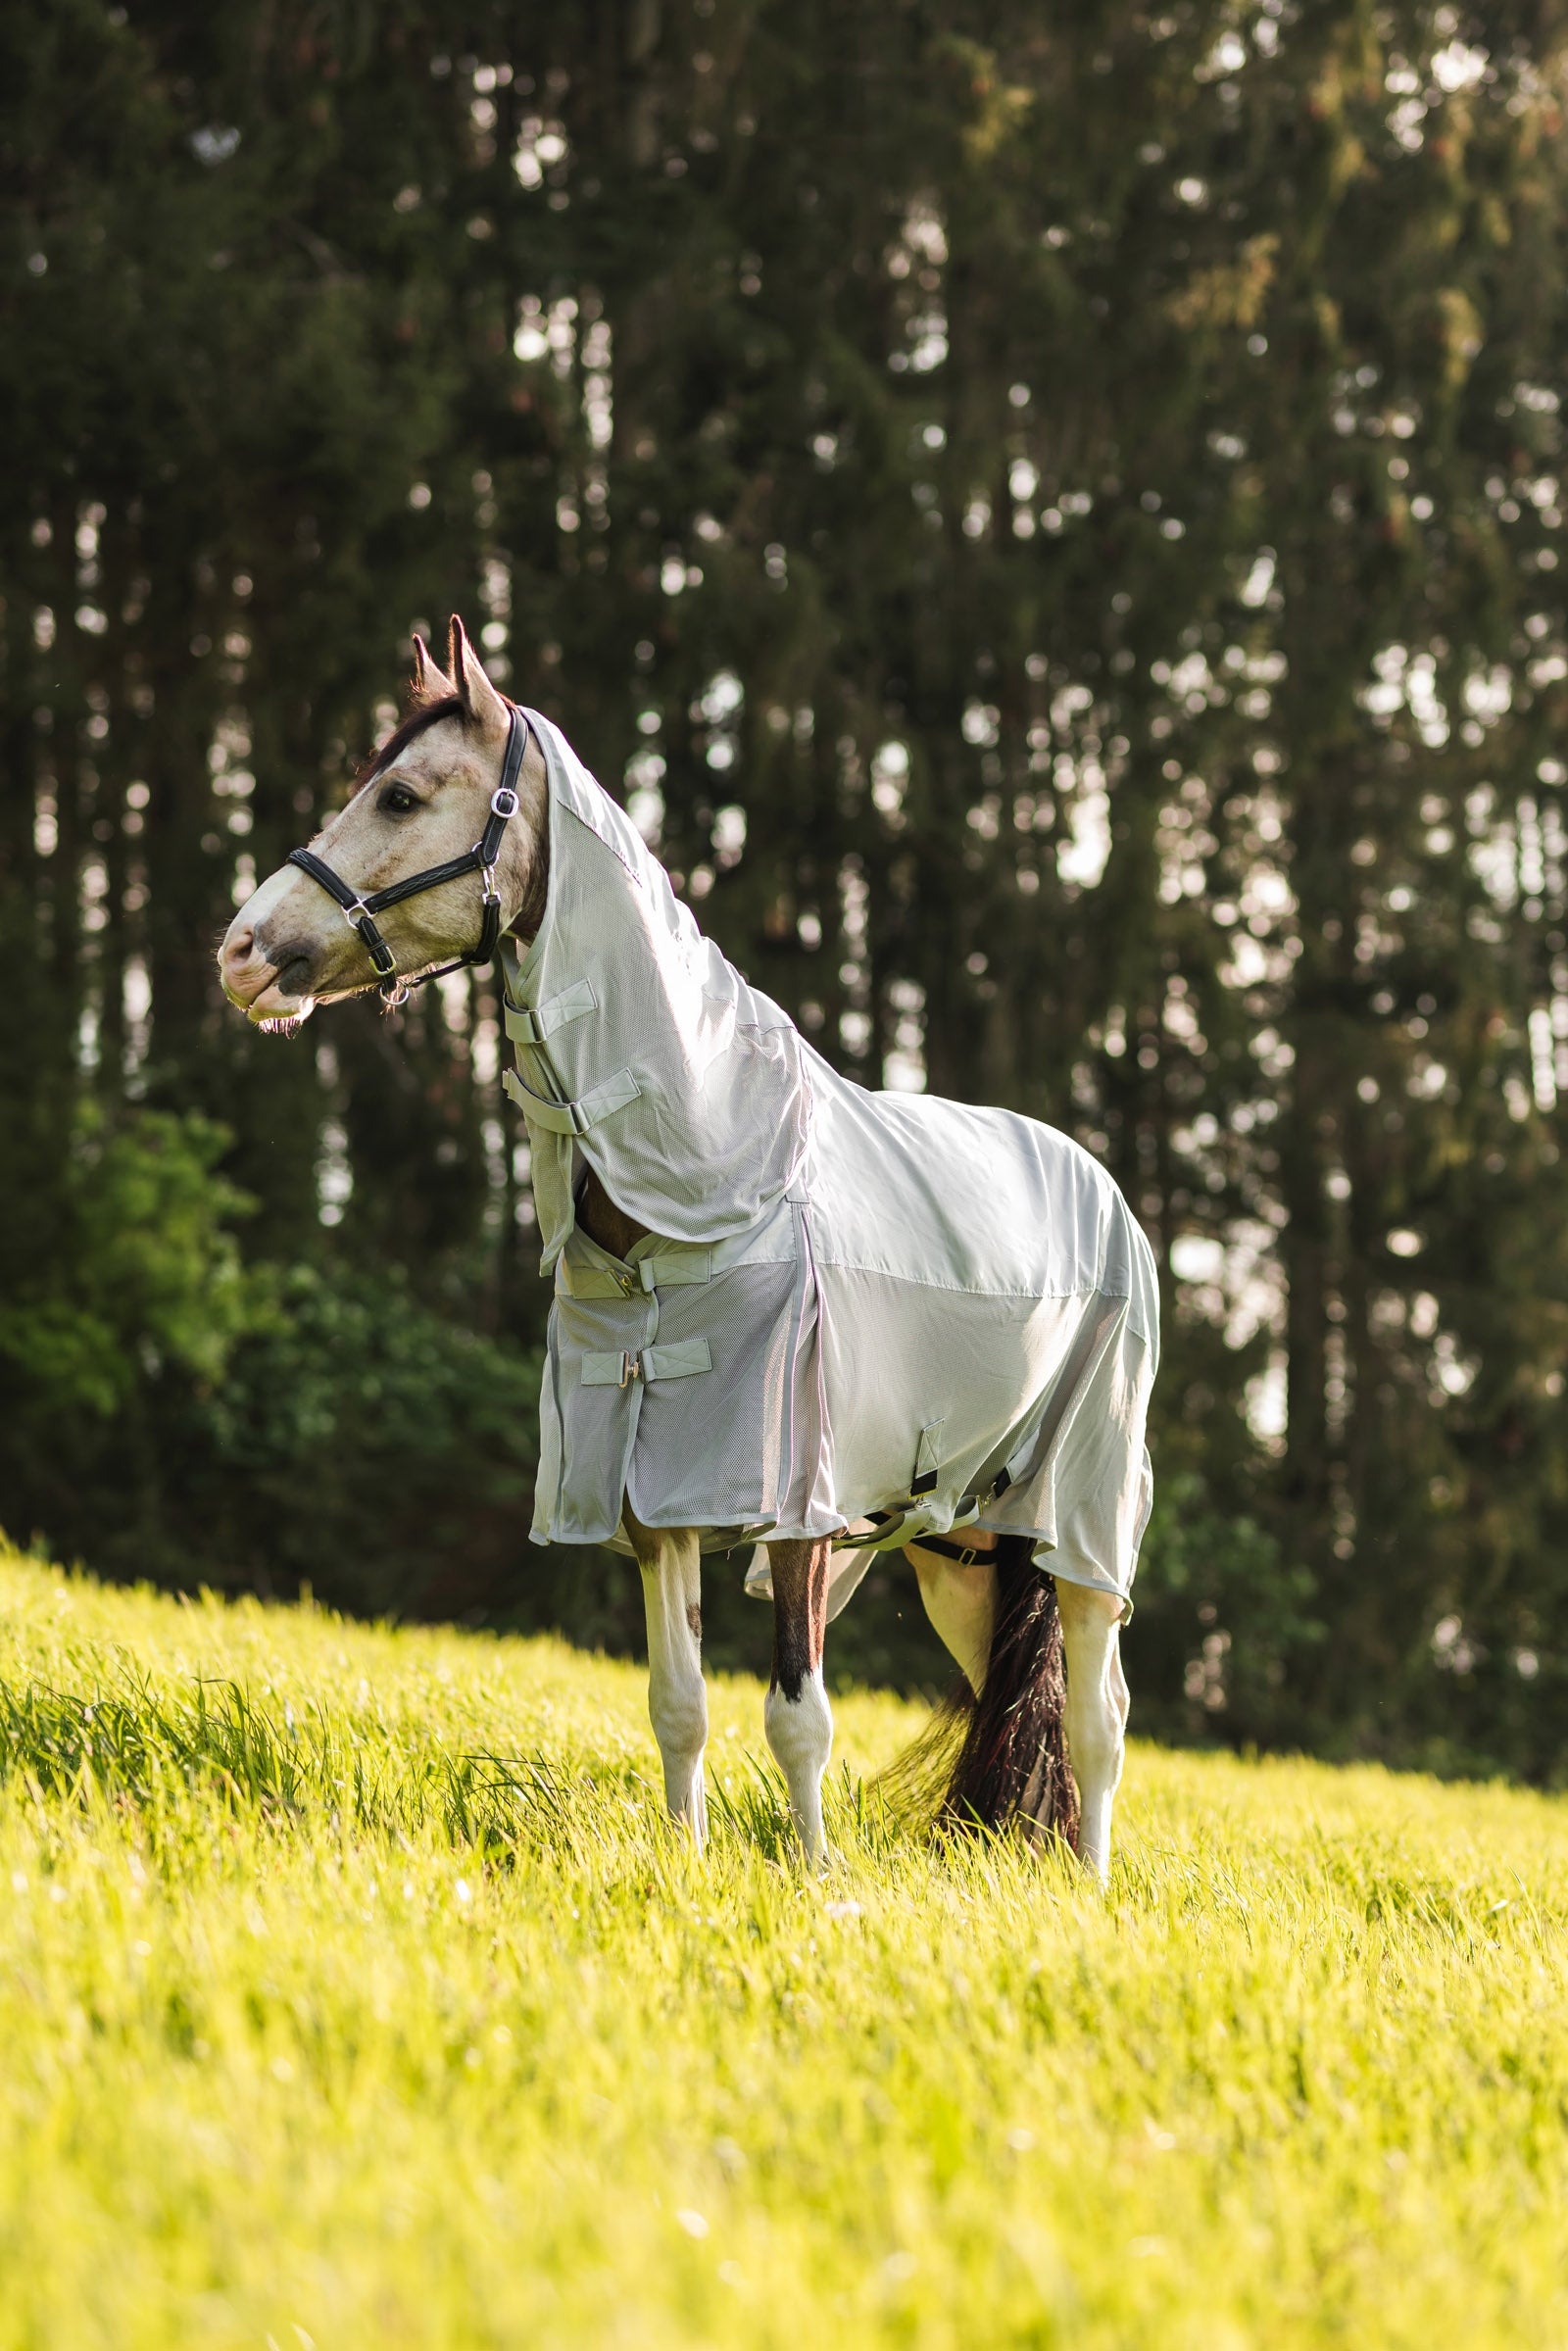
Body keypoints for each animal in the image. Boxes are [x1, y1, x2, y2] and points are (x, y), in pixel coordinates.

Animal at [218, 618, 1158, 1882]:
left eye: (401, 793)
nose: (242, 952)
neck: (709, 1173)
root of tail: (1100, 1189)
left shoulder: (796, 1504)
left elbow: (798, 1713)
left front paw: (815, 1881)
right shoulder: (648, 1499)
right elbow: (680, 1704)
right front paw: (685, 1859)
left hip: (1080, 1530)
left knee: (1100, 1718)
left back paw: (1090, 1887)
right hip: (962, 1548)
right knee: (1023, 1698)